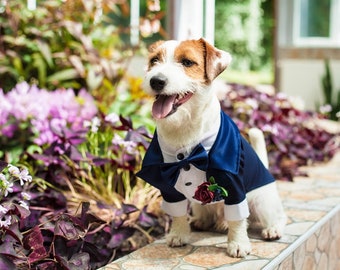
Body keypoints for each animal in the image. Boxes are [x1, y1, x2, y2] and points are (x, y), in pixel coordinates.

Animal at [137, 38, 286, 258]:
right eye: (154, 60)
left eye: (187, 62)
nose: (156, 81)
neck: (185, 130)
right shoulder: (168, 185)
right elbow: (177, 213)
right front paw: (178, 234)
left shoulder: (233, 183)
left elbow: (237, 218)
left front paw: (238, 243)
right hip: (198, 204)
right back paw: (202, 221)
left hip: (261, 201)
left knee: (275, 216)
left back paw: (272, 228)